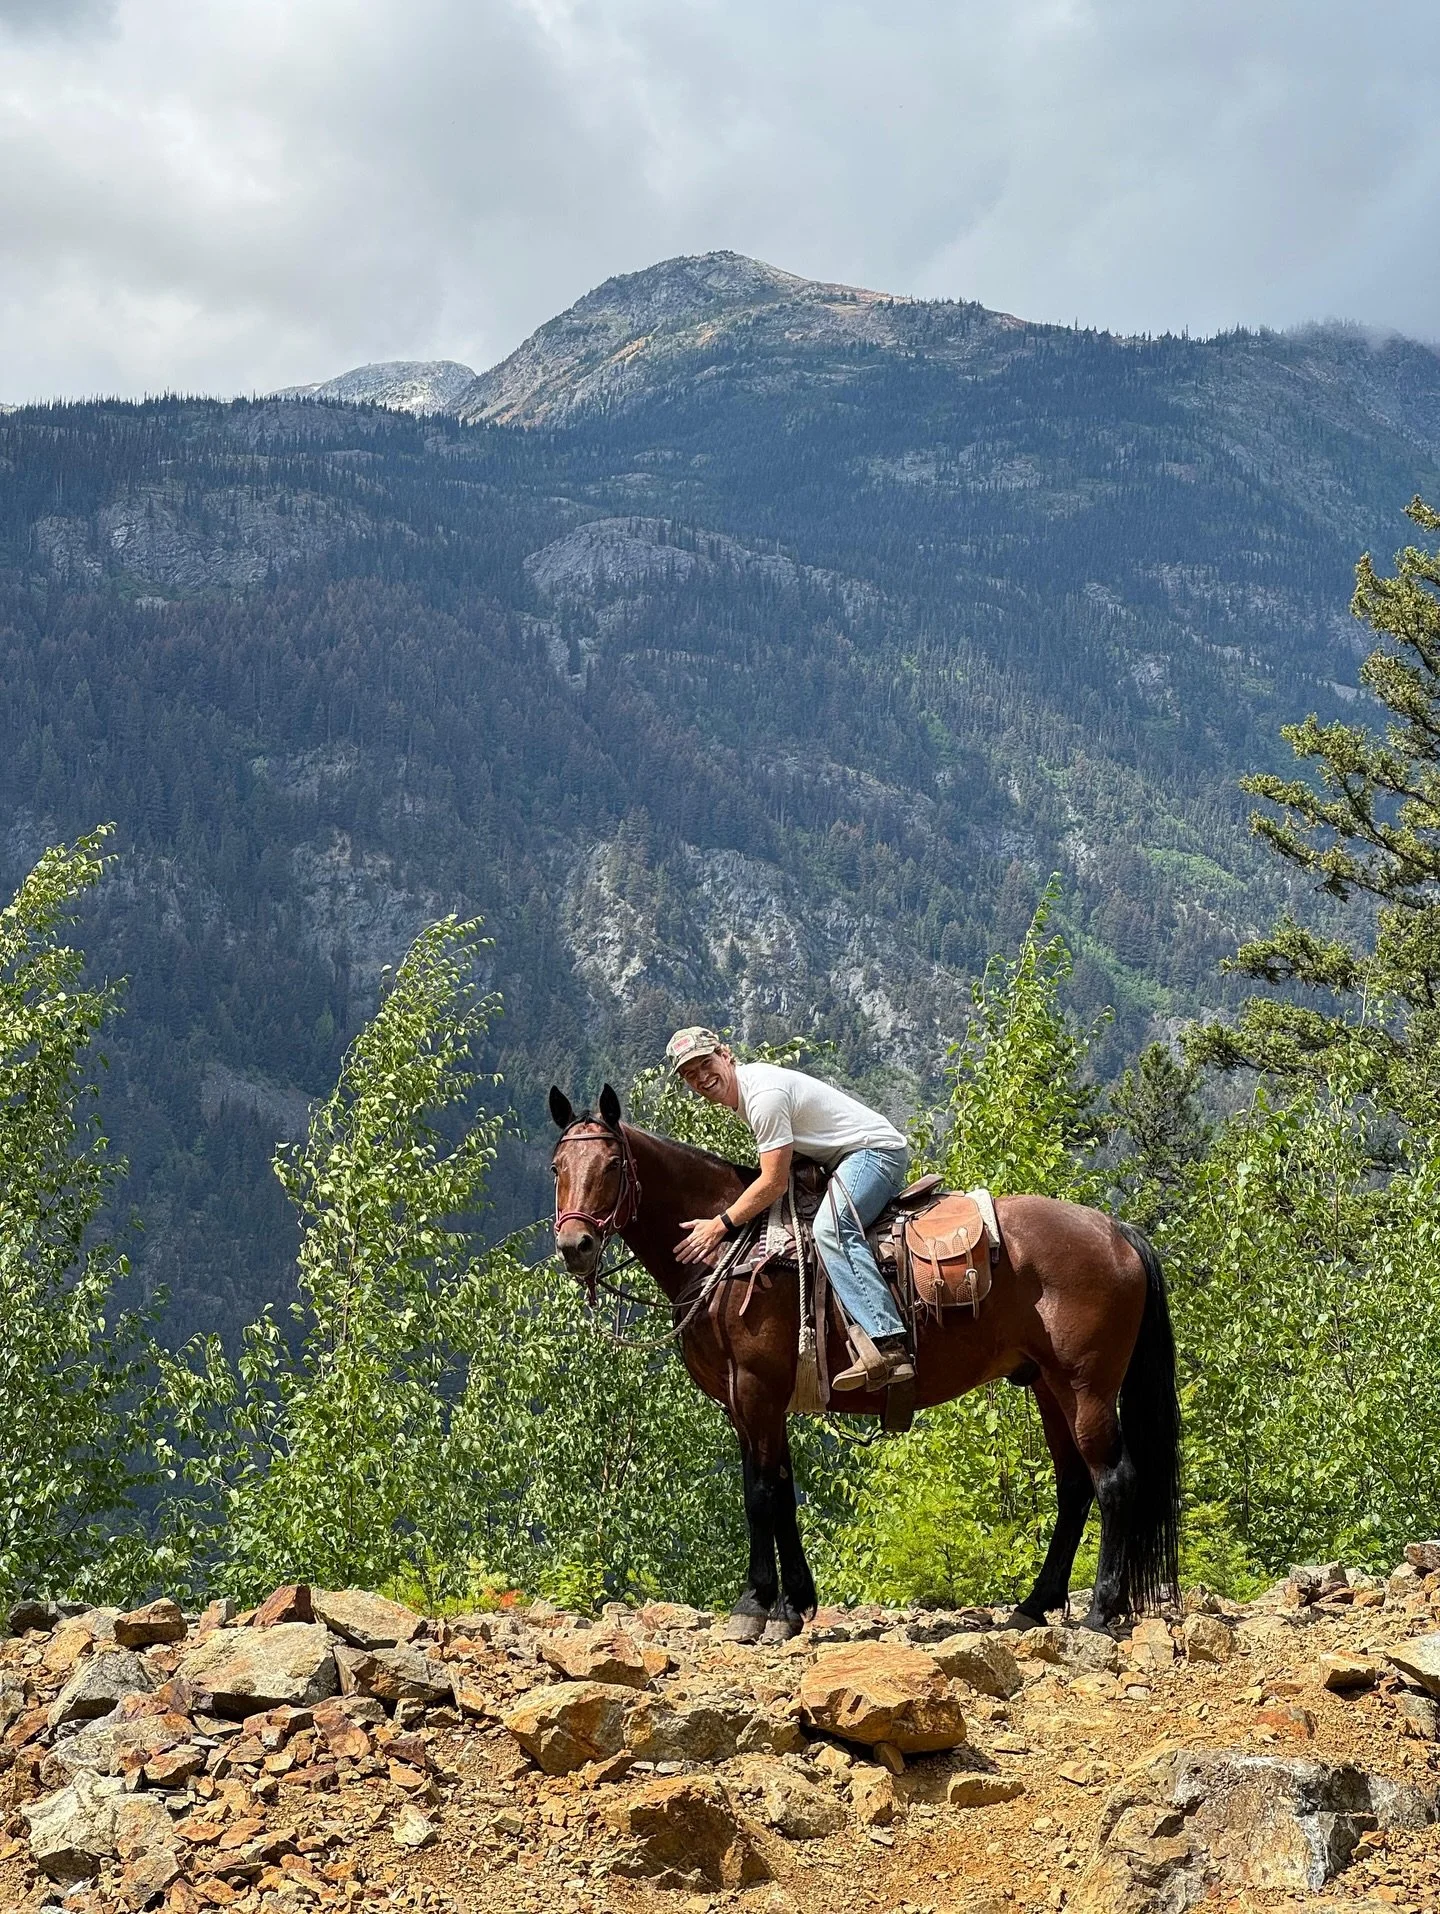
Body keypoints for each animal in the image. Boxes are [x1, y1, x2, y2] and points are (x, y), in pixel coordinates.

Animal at [548, 1082, 1180, 1643]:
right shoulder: (746, 1402)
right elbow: (781, 1489)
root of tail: (1116, 1231)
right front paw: (793, 1606)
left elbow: (760, 1493)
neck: (732, 1252)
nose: (575, 1246)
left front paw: (755, 1607)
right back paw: (1034, 1604)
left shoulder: (756, 1388)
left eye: (612, 1165)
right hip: (1048, 1386)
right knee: (1073, 1485)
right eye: (558, 1167)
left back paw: (1101, 1611)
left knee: (1114, 1480)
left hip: (1087, 1386)